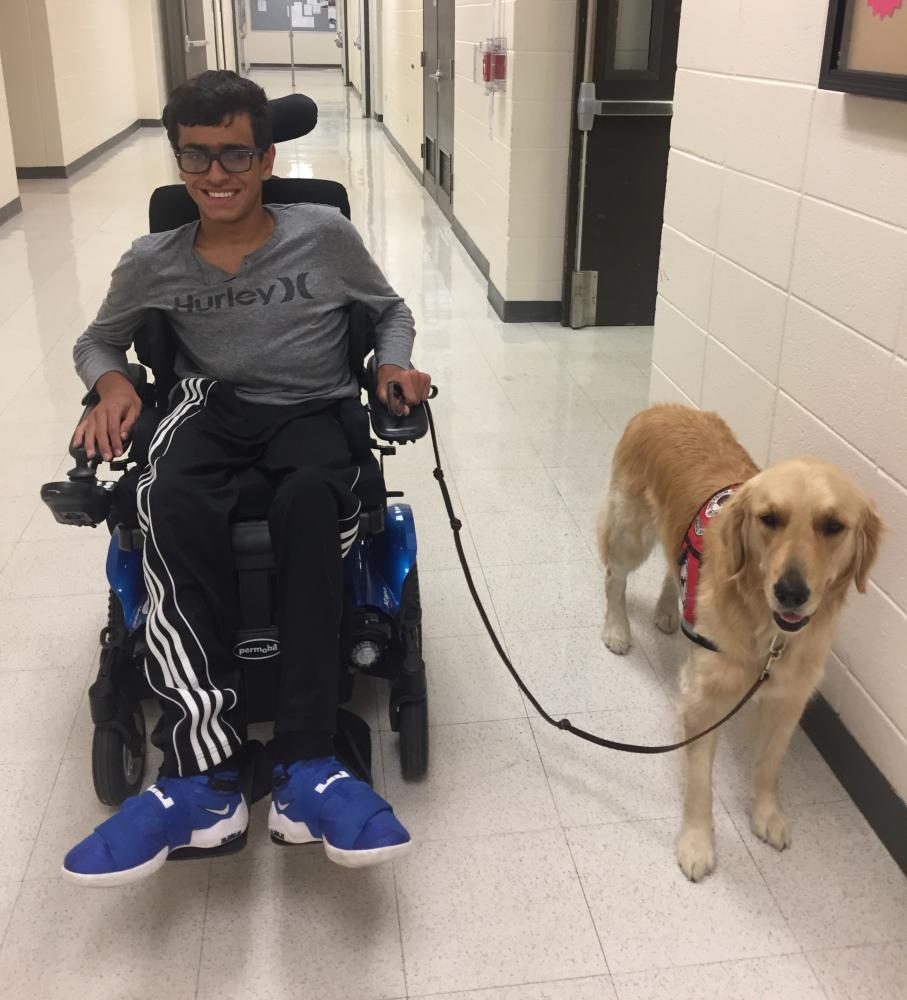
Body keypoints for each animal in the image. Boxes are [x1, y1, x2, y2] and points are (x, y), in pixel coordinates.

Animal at [596, 402, 880, 880]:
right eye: (770, 518)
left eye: (833, 525)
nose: (791, 592)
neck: (767, 632)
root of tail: (663, 406)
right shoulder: (703, 700)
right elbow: (700, 783)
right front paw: (696, 842)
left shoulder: (789, 698)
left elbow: (768, 765)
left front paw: (766, 814)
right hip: (630, 530)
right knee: (615, 576)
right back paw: (617, 628)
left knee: (674, 569)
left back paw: (670, 612)